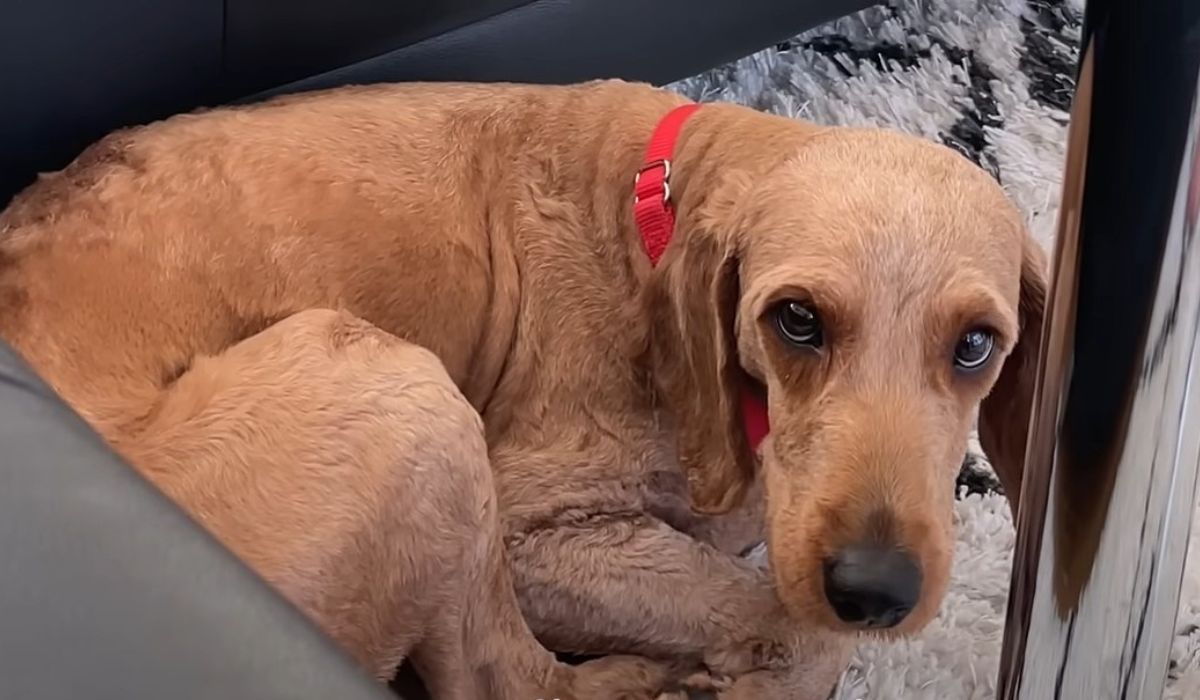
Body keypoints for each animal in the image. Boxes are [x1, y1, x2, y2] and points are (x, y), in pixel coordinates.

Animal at [0, 79, 1041, 696]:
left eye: (976, 345)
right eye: (796, 319)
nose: (878, 589)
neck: (655, 205)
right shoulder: (537, 537)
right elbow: (797, 632)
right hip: (409, 401)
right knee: (506, 680)